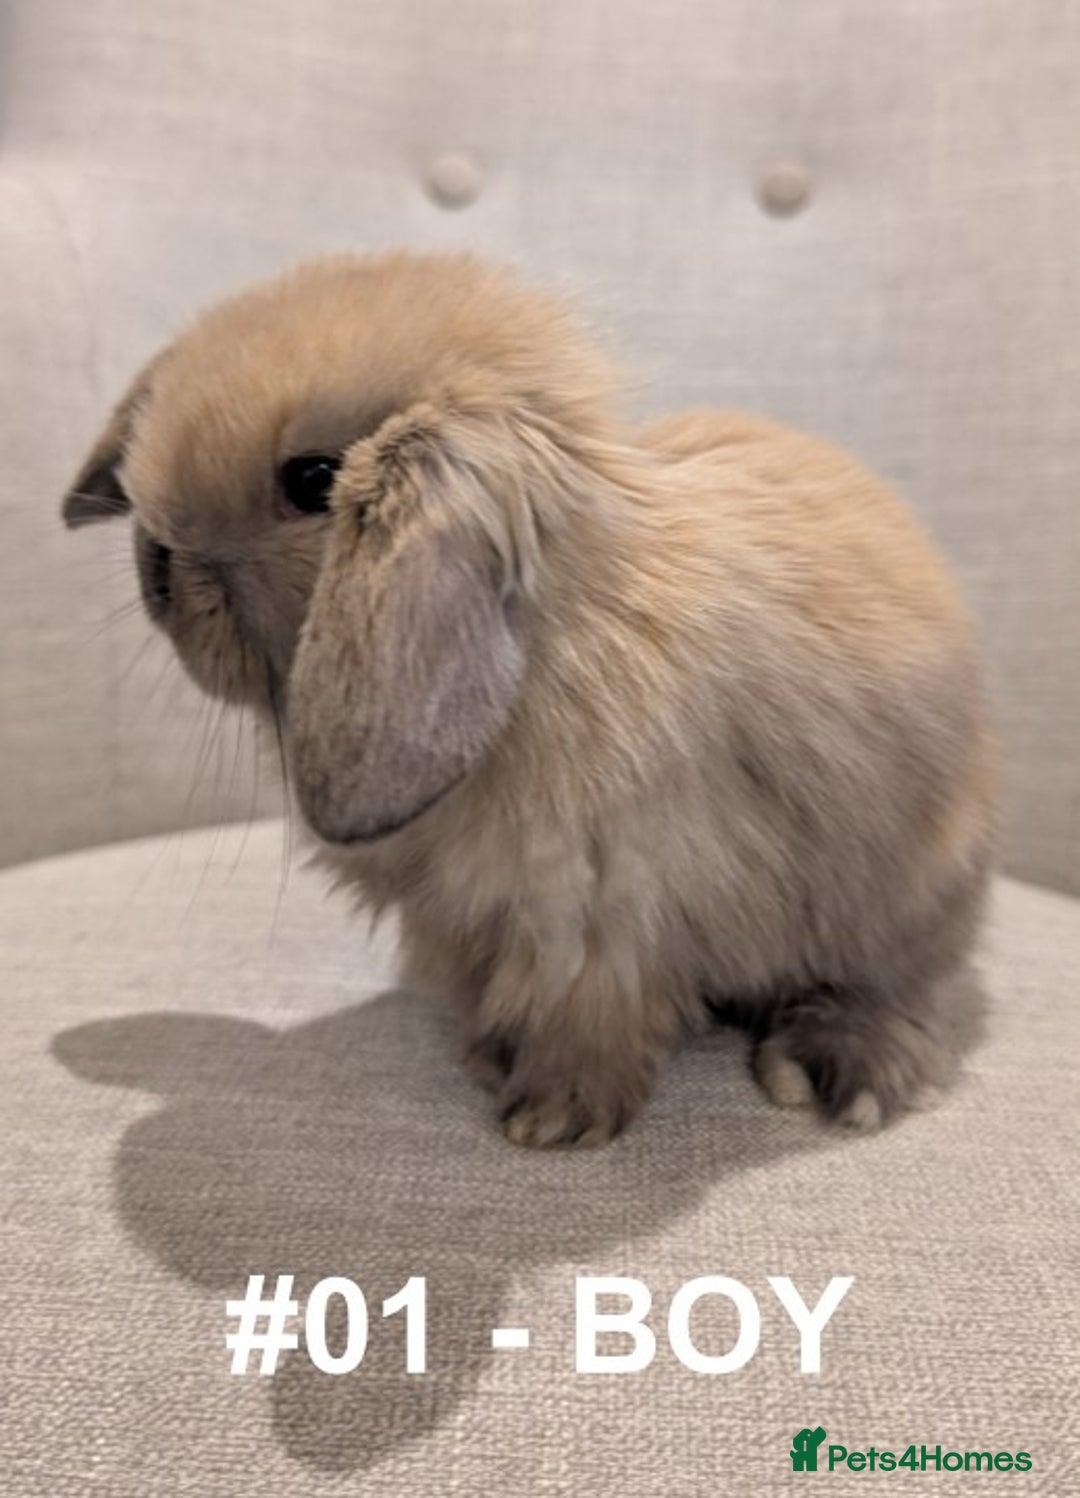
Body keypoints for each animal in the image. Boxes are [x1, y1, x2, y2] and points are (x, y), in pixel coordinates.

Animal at [62, 251, 996, 1148]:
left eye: (315, 479)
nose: (155, 565)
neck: (548, 642)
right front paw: (493, 1059)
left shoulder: (598, 924)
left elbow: (596, 1023)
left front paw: (553, 1119)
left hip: (905, 903)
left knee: (903, 988)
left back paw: (842, 1074)